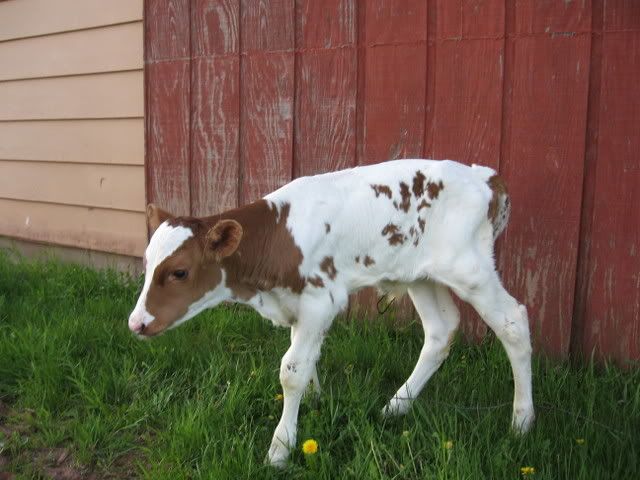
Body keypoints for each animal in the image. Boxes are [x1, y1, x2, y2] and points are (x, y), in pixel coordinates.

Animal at [128, 159, 534, 466]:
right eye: (147, 263)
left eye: (179, 272)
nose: (137, 323)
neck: (278, 237)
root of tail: (483, 175)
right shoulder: (298, 305)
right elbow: (306, 360)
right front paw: (315, 403)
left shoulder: (320, 300)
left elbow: (291, 370)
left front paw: (280, 449)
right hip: (421, 275)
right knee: (441, 330)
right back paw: (394, 408)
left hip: (470, 269)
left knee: (513, 323)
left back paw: (522, 423)